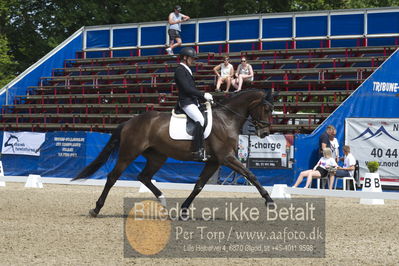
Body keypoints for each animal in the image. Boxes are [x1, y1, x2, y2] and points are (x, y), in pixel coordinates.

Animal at [72, 88, 276, 217]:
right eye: (266, 108)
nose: (265, 133)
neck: (227, 119)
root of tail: (129, 121)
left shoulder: (214, 162)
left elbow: (198, 186)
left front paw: (184, 210)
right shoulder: (226, 158)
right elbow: (251, 174)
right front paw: (269, 201)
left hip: (158, 156)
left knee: (144, 177)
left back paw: (164, 202)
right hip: (129, 153)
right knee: (112, 177)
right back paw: (96, 209)